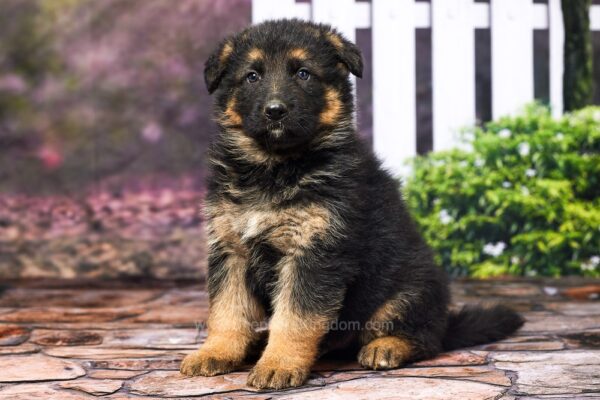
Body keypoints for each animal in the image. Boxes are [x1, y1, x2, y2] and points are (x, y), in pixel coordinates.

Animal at [180, 19, 524, 390]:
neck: (274, 167)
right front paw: (216, 352)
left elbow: (296, 317)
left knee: (426, 338)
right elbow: (226, 311)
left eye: (303, 73)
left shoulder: (314, 252)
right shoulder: (231, 250)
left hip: (409, 291)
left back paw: (387, 347)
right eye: (252, 76)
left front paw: (279, 364)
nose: (275, 111)